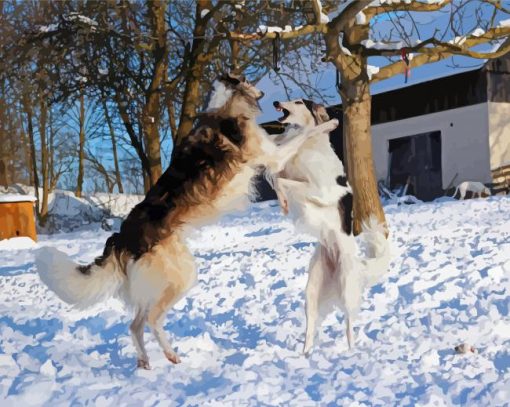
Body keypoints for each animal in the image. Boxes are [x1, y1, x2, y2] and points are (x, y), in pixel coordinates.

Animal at [34, 75, 338, 370]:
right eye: (248, 80)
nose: (269, 96)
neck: (225, 108)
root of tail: (122, 238)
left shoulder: (271, 156)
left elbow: (280, 171)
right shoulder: (271, 154)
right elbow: (303, 135)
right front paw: (330, 123)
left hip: (156, 282)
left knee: (135, 325)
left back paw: (145, 362)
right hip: (181, 276)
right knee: (152, 320)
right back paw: (170, 355)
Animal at [266, 98, 390, 354]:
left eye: (298, 101)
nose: (275, 101)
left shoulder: (318, 190)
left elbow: (282, 181)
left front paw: (284, 202)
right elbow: (278, 177)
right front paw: (282, 202)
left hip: (346, 288)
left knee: (349, 325)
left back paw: (351, 352)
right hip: (311, 292)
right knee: (311, 328)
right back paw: (305, 355)